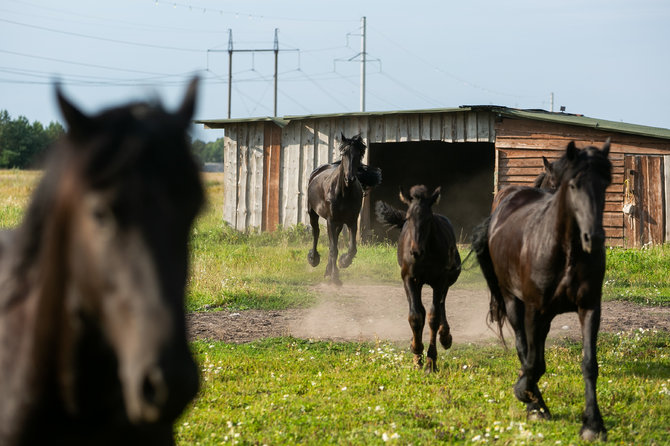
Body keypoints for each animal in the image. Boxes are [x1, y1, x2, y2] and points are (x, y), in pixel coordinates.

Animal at [310, 133, 384, 286]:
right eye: (344, 153)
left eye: (359, 154)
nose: (349, 178)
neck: (343, 192)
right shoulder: (331, 221)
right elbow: (333, 248)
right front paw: (335, 277)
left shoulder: (352, 221)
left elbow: (351, 248)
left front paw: (343, 262)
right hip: (312, 212)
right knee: (316, 232)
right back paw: (313, 259)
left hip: (339, 222)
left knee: (333, 240)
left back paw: (328, 270)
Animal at [378, 186, 462, 374]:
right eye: (408, 217)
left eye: (428, 218)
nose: (415, 251)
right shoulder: (410, 278)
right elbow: (416, 315)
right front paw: (416, 352)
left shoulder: (440, 280)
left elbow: (433, 317)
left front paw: (431, 361)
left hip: (446, 280)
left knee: (440, 306)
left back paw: (445, 337)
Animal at [472, 141, 616, 440]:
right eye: (573, 185)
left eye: (605, 184)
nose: (594, 238)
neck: (566, 252)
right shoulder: (534, 309)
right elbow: (533, 361)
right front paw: (526, 395)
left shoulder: (589, 308)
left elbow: (589, 364)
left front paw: (593, 424)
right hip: (513, 301)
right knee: (523, 347)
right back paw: (534, 403)